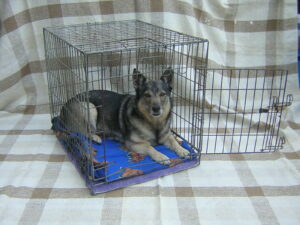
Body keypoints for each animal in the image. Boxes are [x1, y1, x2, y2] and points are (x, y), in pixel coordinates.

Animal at [59, 67, 189, 164]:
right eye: (147, 95)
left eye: (162, 94)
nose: (156, 109)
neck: (153, 122)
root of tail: (63, 107)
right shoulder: (134, 144)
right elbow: (149, 147)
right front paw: (161, 156)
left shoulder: (166, 135)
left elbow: (173, 140)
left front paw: (182, 150)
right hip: (89, 107)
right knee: (81, 132)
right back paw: (96, 137)